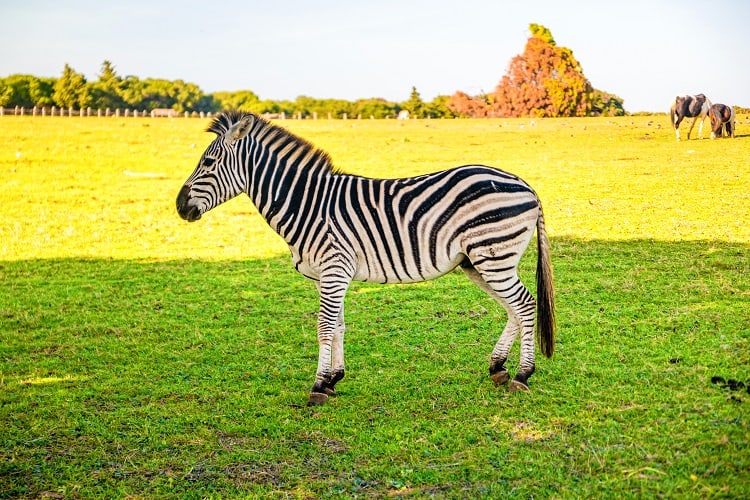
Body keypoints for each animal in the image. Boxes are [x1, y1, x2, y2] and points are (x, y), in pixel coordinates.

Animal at [175, 110, 552, 406]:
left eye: (208, 163)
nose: (179, 207)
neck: (307, 203)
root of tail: (525, 184)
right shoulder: (331, 274)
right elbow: (338, 325)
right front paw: (333, 379)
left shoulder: (334, 268)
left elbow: (324, 326)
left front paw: (317, 386)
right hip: (478, 261)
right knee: (513, 309)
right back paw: (499, 368)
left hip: (493, 255)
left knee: (524, 304)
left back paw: (523, 374)